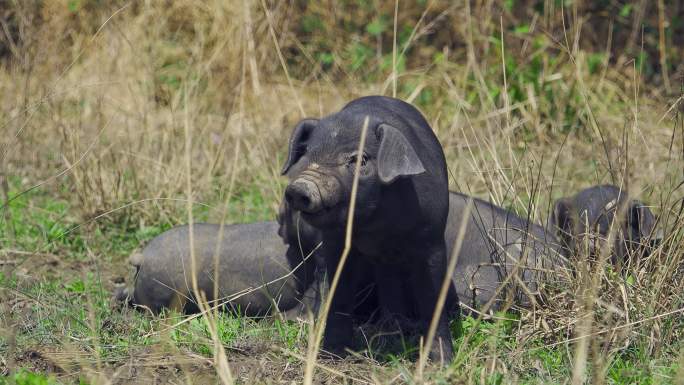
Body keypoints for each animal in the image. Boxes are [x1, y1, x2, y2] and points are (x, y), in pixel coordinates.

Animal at [280, 95, 456, 360]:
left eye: (359, 159)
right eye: (308, 155)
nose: (301, 187)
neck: (378, 226)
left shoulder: (432, 239)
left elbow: (432, 298)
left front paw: (441, 362)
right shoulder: (336, 243)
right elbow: (339, 295)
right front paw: (331, 354)